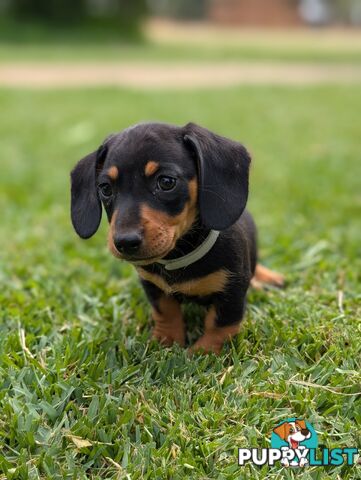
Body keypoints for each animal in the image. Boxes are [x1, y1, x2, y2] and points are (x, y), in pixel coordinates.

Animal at [70, 123, 282, 356]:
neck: (178, 257)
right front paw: (166, 340)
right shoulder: (152, 284)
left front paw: (204, 351)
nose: (125, 242)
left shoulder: (232, 288)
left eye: (166, 182)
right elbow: (166, 311)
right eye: (105, 188)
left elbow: (221, 324)